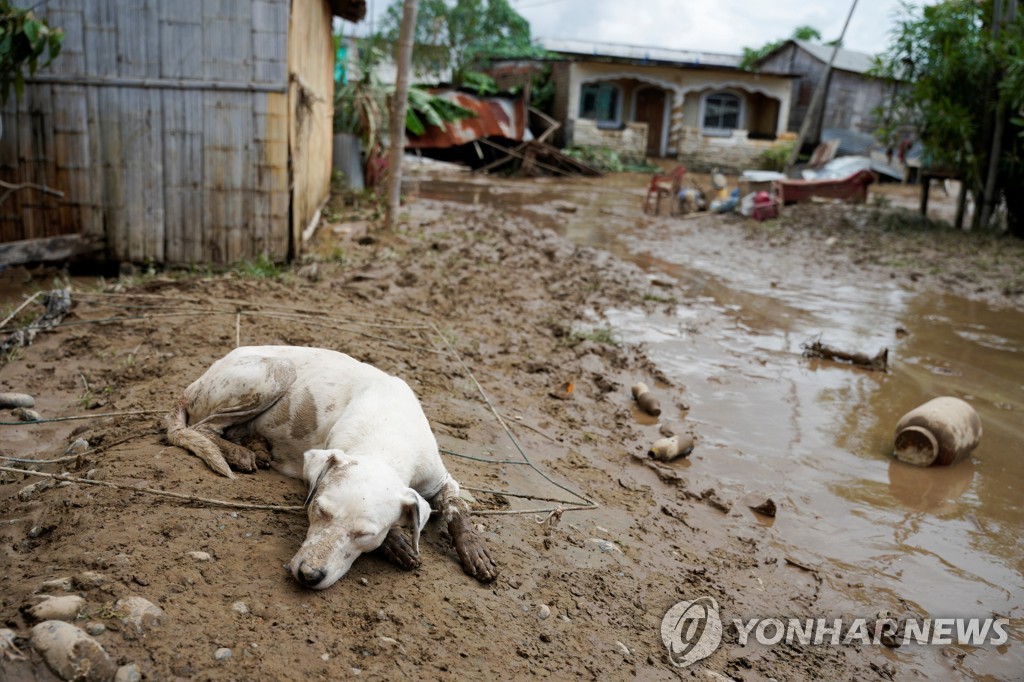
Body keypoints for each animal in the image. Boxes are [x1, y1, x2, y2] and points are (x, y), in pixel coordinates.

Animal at [165, 346, 497, 585]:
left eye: (365, 534)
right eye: (320, 510)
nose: (308, 575)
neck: (386, 435)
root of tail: (195, 382)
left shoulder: (442, 480)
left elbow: (458, 511)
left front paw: (475, 550)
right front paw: (397, 543)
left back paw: (256, 447)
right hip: (278, 371)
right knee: (205, 428)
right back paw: (239, 454)